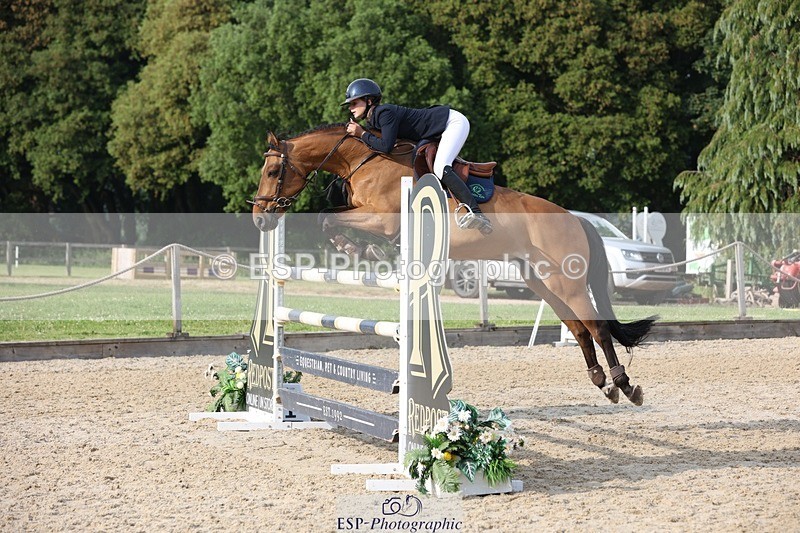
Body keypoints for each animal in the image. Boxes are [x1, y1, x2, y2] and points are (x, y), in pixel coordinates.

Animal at [249, 123, 653, 405]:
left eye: (271, 172)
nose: (259, 218)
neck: (364, 159)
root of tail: (576, 219)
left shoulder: (384, 220)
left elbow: (327, 217)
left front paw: (363, 250)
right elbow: (328, 218)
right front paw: (357, 249)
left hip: (567, 283)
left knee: (597, 328)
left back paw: (625, 386)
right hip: (543, 281)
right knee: (580, 329)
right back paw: (601, 383)